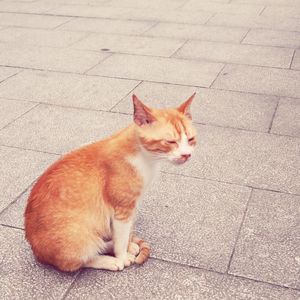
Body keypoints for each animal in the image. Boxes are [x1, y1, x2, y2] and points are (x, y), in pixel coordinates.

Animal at [24, 94, 197, 272]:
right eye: (170, 141)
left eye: (191, 139)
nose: (186, 155)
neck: (146, 158)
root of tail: (36, 251)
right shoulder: (122, 210)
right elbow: (121, 238)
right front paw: (122, 256)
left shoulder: (131, 207)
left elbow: (124, 234)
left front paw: (127, 246)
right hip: (77, 237)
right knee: (78, 261)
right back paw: (108, 260)